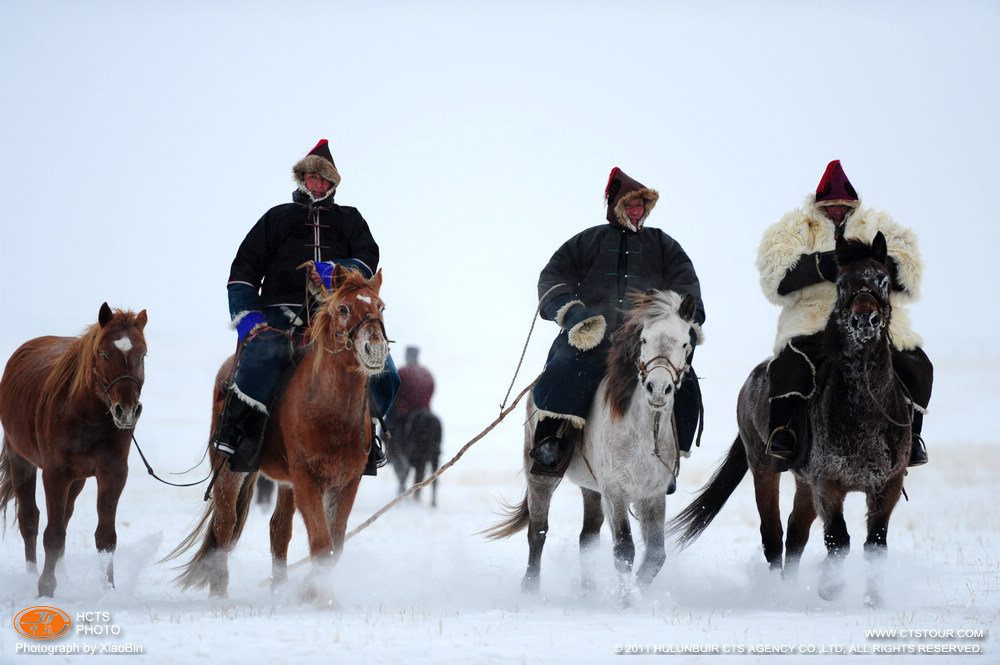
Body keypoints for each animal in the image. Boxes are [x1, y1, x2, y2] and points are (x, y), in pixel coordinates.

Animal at [0, 300, 148, 596]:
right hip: (20, 460)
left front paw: (108, 590)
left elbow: (105, 536)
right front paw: (45, 587)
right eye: (103, 354)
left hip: (77, 479)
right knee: (29, 519)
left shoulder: (113, 473)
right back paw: (31, 576)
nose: (126, 411)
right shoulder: (54, 474)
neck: (86, 416)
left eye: (143, 354)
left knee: (65, 517)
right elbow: (52, 534)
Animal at [168, 268, 390, 600]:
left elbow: (334, 545)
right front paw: (319, 597)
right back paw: (219, 592)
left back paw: (278, 591)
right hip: (230, 469)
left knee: (278, 528)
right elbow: (322, 544)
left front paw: (310, 591)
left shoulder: (346, 481)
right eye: (343, 308)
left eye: (381, 307)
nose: (375, 349)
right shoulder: (306, 478)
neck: (331, 410)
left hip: (286, 482)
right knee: (225, 523)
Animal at [488, 290, 700, 600]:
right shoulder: (616, 491)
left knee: (587, 537)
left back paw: (588, 592)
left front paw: (636, 592)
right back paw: (530, 589)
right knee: (537, 531)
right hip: (541, 477)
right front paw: (626, 601)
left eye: (685, 342)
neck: (644, 433)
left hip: (591, 488)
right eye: (644, 339)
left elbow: (655, 555)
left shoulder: (652, 495)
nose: (658, 389)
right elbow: (624, 549)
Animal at [668, 233, 912, 608]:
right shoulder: (828, 484)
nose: (865, 321)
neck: (865, 414)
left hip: (803, 483)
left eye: (884, 279)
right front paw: (830, 588)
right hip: (764, 467)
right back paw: (775, 594)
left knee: (796, 533)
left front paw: (874, 601)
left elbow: (875, 546)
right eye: (841, 283)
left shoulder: (887, 485)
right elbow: (838, 539)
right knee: (773, 533)